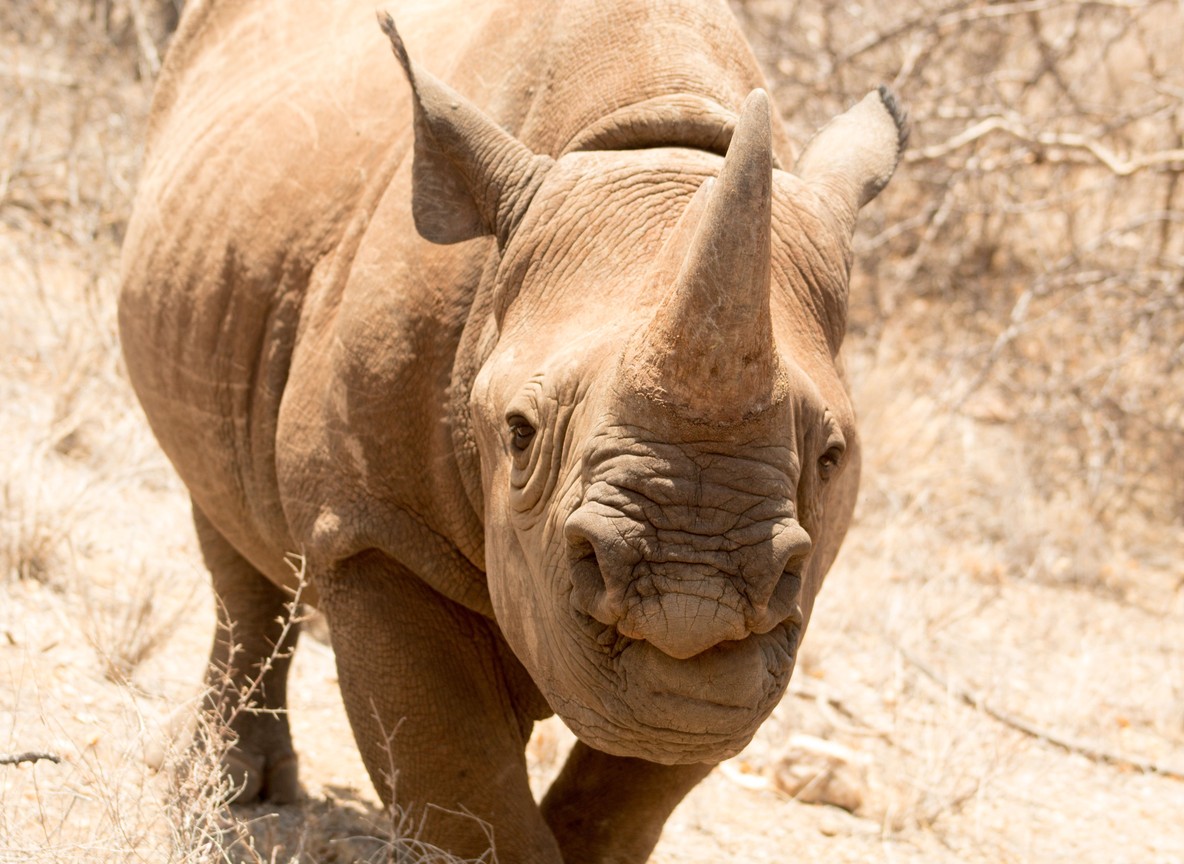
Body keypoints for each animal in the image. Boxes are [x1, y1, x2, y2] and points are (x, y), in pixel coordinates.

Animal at [119, 0, 906, 860]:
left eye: (832, 456)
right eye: (520, 432)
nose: (691, 606)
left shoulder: (766, 629)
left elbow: (628, 791)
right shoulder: (378, 530)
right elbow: (463, 786)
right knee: (226, 520)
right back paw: (234, 791)